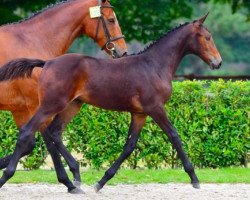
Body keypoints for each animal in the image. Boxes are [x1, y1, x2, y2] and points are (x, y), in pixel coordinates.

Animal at [0, 14, 222, 191]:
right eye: (208, 37)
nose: (218, 62)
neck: (154, 65)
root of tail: (47, 63)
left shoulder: (140, 113)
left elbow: (130, 145)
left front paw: (101, 182)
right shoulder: (156, 108)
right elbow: (174, 136)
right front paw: (194, 179)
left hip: (72, 105)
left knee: (54, 132)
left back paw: (75, 179)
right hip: (49, 105)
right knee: (28, 132)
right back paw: (8, 176)